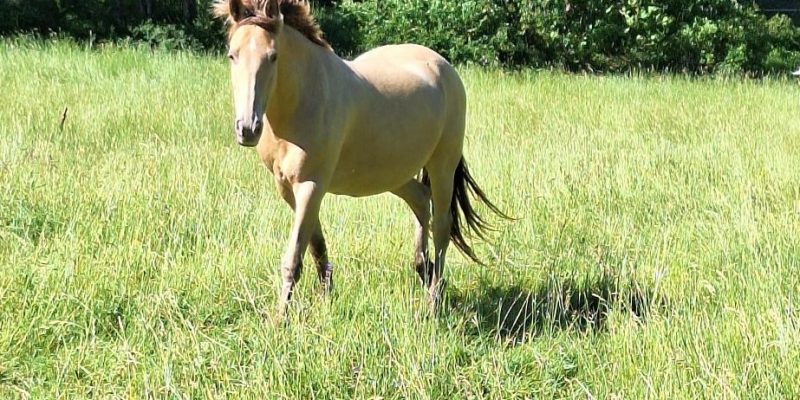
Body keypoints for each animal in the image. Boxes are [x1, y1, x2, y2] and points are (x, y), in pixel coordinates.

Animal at [213, 0, 508, 315]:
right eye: (232, 55)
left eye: (273, 56)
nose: (247, 129)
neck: (303, 99)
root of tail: (444, 67)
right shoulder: (288, 187)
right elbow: (316, 245)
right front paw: (325, 298)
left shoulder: (310, 185)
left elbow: (293, 258)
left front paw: (280, 318)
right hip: (395, 174)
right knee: (421, 200)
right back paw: (423, 269)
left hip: (443, 164)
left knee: (442, 224)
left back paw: (432, 300)